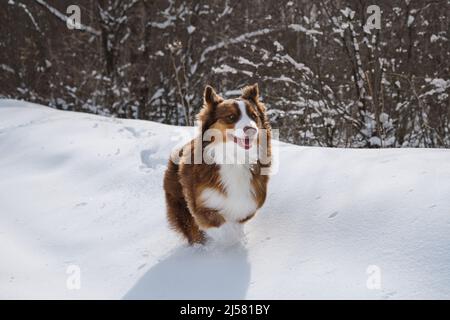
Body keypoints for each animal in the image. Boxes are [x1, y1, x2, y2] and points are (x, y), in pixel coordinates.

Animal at [163, 82, 272, 245]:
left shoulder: (250, 201)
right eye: (231, 117)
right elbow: (218, 223)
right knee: (194, 231)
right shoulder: (201, 205)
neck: (235, 159)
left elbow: (238, 222)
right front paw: (228, 240)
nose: (252, 130)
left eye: (254, 116)